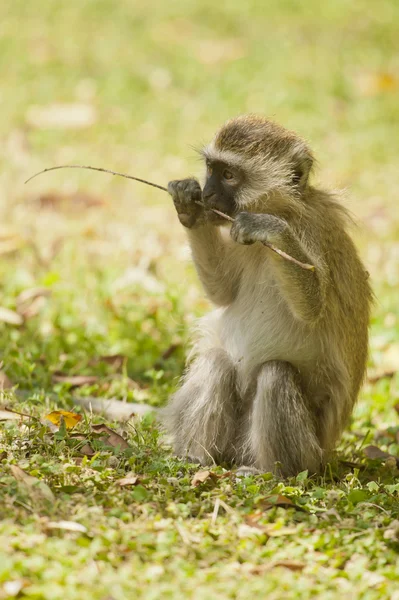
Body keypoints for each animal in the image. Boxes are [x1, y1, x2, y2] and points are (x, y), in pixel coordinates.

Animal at [161, 115, 374, 476]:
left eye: (229, 175)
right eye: (211, 168)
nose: (208, 192)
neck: (281, 208)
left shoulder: (311, 229)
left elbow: (314, 307)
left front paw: (269, 229)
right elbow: (223, 290)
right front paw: (187, 206)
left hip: (307, 451)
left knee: (276, 374)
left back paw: (273, 472)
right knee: (217, 362)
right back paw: (195, 458)